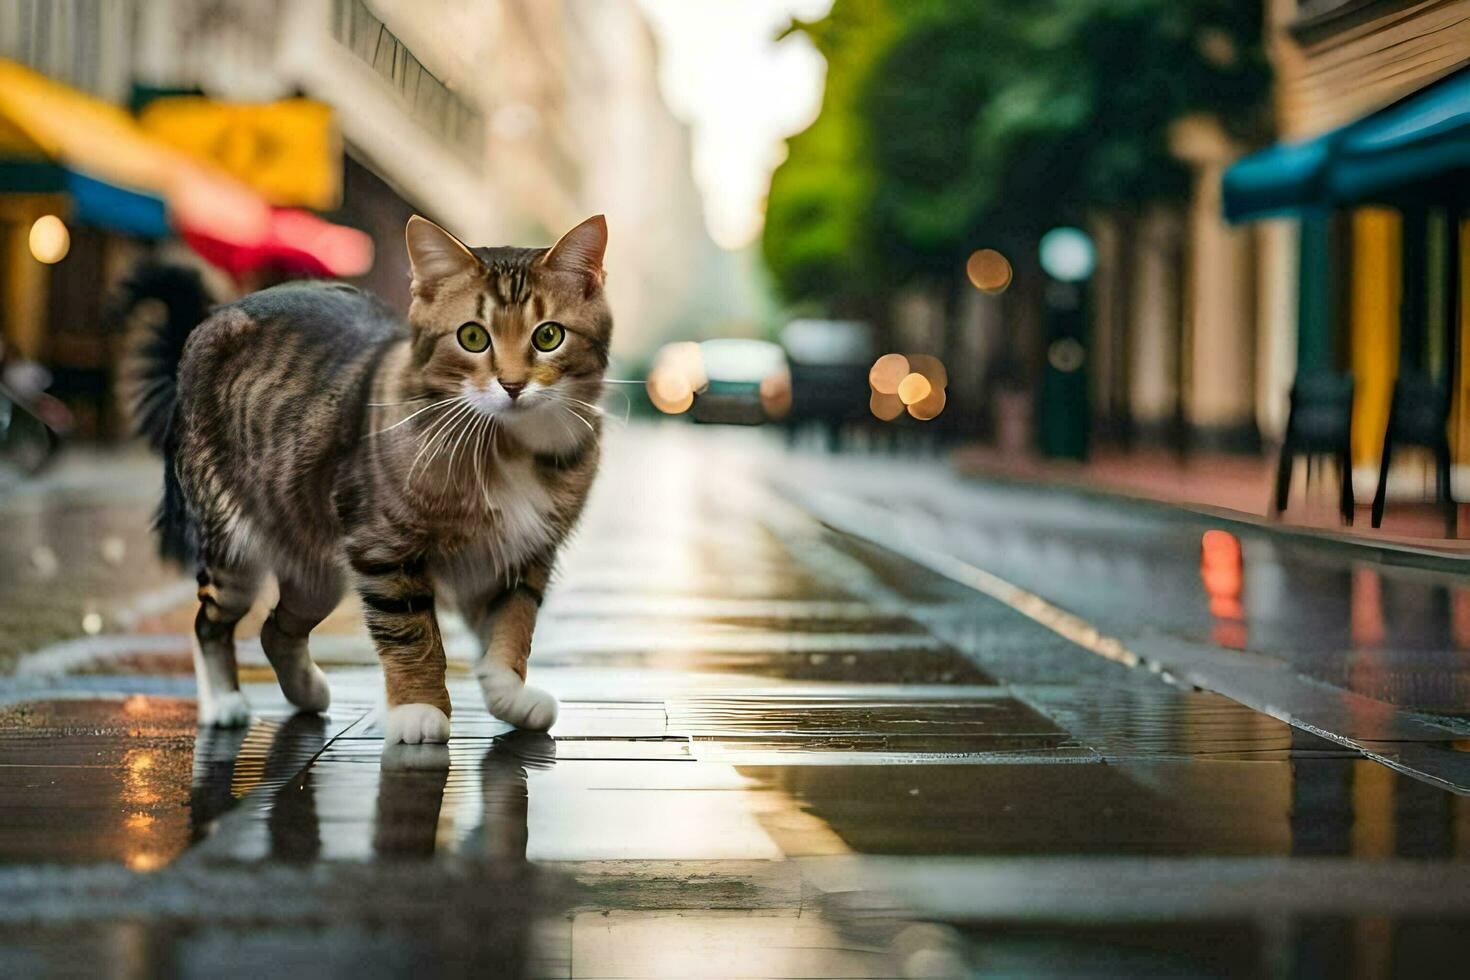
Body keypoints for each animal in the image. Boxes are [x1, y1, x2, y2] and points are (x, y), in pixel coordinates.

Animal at [126, 211, 608, 740]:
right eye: (473, 337)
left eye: (548, 337)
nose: (513, 385)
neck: (505, 444)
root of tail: (213, 318)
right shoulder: (385, 550)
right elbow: (412, 635)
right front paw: (419, 708)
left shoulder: (521, 556)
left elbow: (511, 629)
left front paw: (509, 695)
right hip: (233, 551)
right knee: (209, 623)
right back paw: (223, 702)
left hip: (314, 568)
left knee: (278, 628)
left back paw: (308, 694)